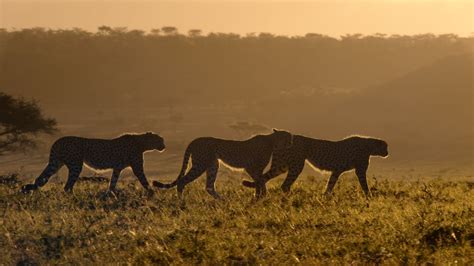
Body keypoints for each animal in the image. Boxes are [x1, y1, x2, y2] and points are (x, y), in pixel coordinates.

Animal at [21, 132, 166, 193]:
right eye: (160, 140)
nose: (164, 146)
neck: (143, 143)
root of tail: (58, 140)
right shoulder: (137, 167)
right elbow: (144, 180)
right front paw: (152, 192)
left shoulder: (117, 168)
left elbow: (113, 182)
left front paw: (110, 193)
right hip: (75, 165)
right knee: (67, 186)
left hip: (56, 163)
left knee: (40, 179)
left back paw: (29, 190)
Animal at [152, 129, 292, 200]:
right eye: (288, 137)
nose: (291, 141)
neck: (273, 141)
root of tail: (195, 140)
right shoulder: (251, 168)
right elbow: (260, 181)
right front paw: (261, 196)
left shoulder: (256, 170)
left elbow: (260, 181)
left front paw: (260, 196)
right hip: (200, 165)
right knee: (182, 181)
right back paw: (181, 202)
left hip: (213, 166)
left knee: (209, 186)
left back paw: (222, 201)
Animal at [243, 135, 386, 197]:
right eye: (385, 146)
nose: (387, 152)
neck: (369, 145)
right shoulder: (359, 171)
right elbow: (364, 185)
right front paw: (369, 196)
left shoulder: (336, 171)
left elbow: (330, 184)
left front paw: (326, 196)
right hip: (296, 165)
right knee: (284, 185)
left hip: (281, 166)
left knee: (263, 178)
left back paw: (259, 196)